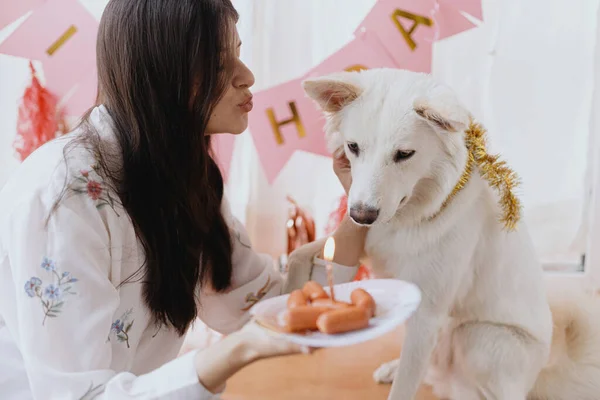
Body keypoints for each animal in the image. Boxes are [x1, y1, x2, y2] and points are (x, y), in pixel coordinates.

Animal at [304, 67, 600, 398]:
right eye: (353, 147)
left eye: (404, 154)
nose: (361, 216)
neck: (414, 214)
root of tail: (540, 375)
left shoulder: (426, 316)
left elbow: (405, 387)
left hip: (476, 338)